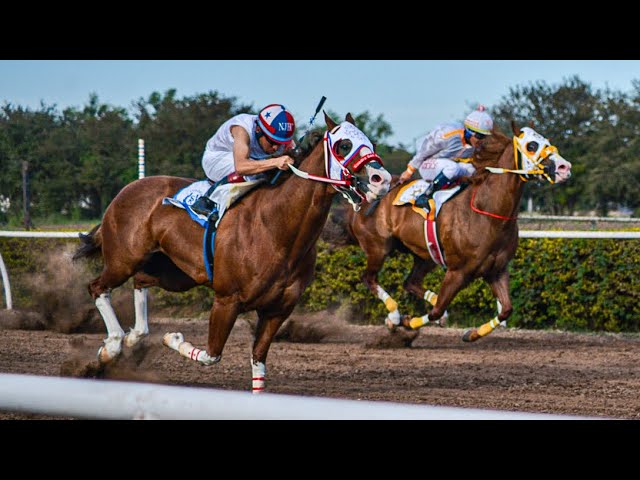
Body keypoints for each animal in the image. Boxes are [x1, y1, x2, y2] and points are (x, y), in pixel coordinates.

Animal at [72, 113, 392, 394]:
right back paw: (112, 346)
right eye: (344, 145)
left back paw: (133, 338)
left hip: (174, 273)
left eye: (372, 143)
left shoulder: (279, 309)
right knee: (97, 287)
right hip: (123, 260)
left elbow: (258, 361)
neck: (276, 229)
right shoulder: (226, 300)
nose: (382, 179)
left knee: (140, 282)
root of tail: (126, 190)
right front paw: (173, 337)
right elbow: (211, 355)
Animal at [348, 124, 572, 342]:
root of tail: (368, 195)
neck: (487, 212)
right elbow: (437, 311)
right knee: (369, 278)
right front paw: (405, 321)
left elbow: (506, 309)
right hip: (378, 248)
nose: (565, 167)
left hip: (425, 255)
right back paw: (394, 315)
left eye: (547, 141)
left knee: (410, 282)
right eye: (532, 145)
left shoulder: (496, 270)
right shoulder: (458, 272)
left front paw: (471, 334)